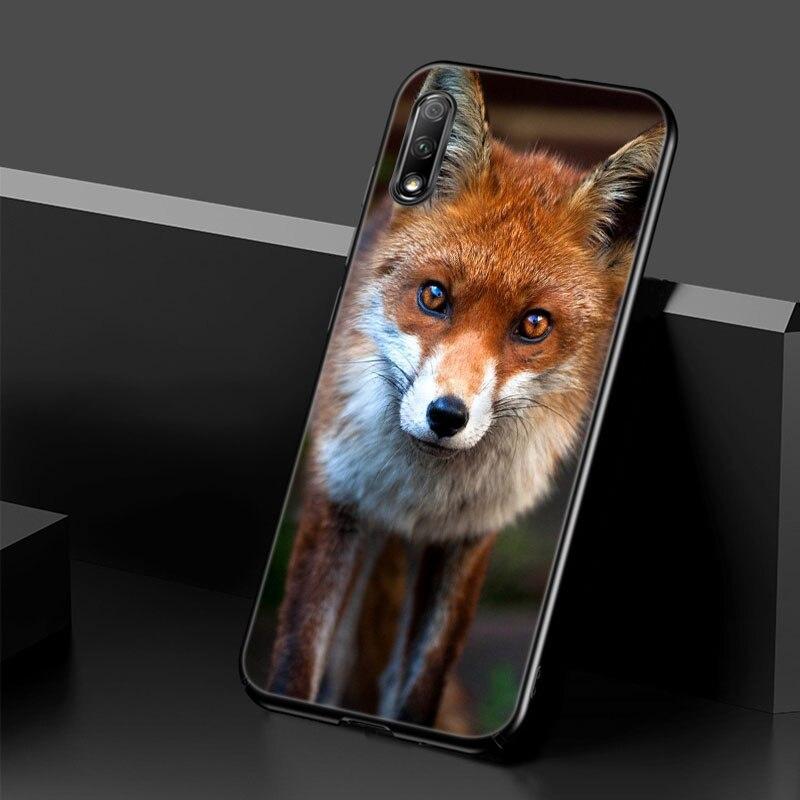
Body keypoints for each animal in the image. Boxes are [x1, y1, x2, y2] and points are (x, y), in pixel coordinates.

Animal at [267, 66, 664, 727]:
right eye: (433, 296)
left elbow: (421, 687)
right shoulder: (338, 496)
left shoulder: (469, 537)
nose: (446, 416)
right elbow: (297, 662)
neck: (422, 494)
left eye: (533, 325)